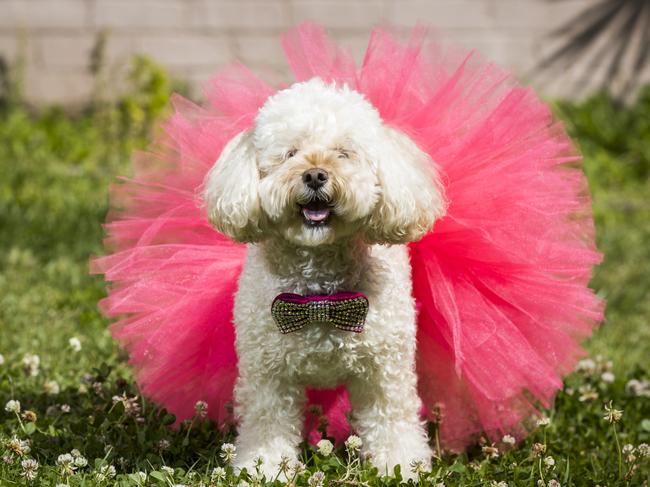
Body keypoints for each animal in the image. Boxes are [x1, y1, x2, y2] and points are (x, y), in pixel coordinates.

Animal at [204, 78, 446, 478]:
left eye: (343, 153)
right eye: (290, 153)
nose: (316, 174)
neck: (319, 298)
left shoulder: (384, 373)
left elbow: (392, 421)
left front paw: (400, 467)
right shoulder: (268, 375)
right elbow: (267, 424)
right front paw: (263, 469)